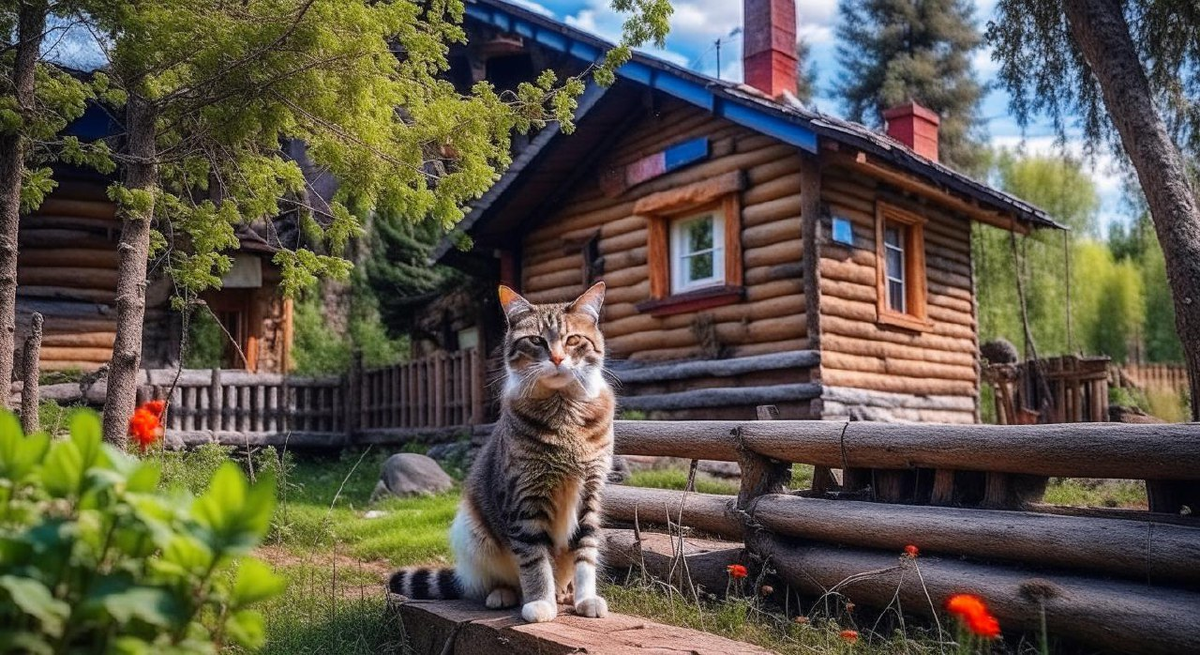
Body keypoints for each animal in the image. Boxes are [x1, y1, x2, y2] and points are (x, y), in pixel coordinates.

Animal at [388, 280, 614, 623]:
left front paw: (585, 598)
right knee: (493, 582)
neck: (564, 415)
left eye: (573, 339)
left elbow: (586, 553)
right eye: (536, 340)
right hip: (471, 534)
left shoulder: (591, 492)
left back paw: (564, 593)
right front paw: (540, 602)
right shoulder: (525, 498)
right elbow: (535, 561)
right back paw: (505, 594)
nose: (557, 358)